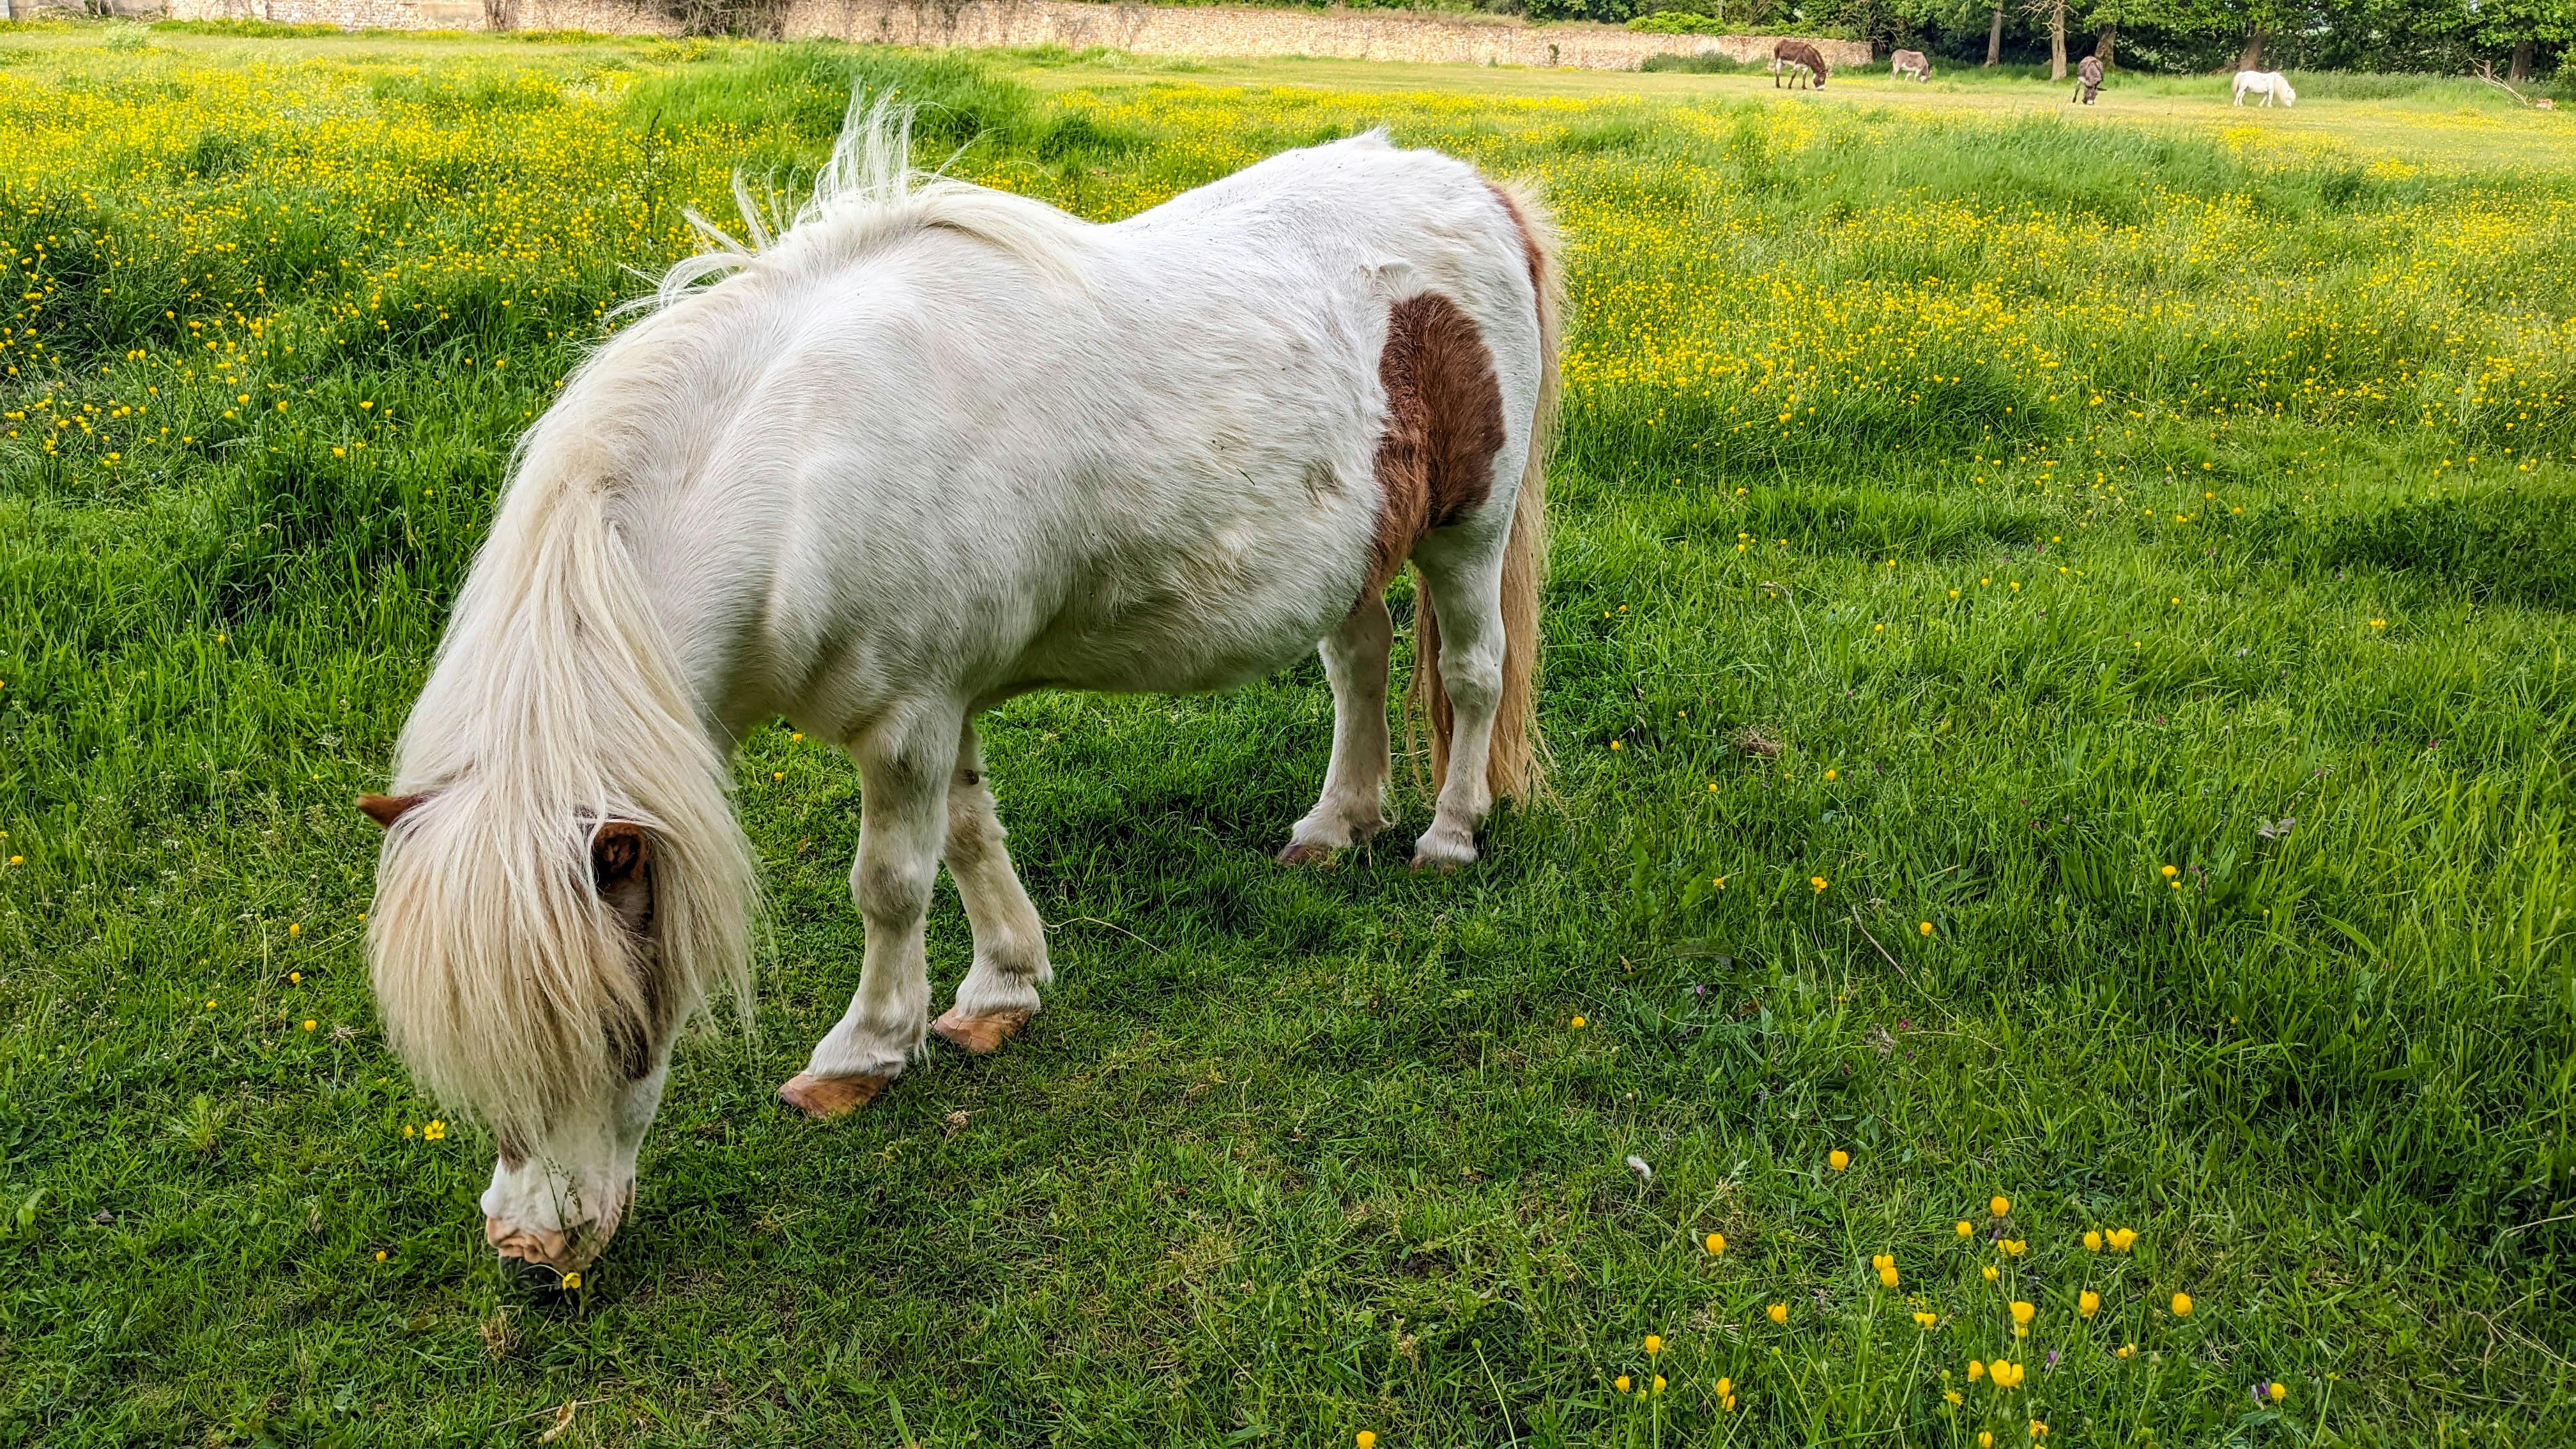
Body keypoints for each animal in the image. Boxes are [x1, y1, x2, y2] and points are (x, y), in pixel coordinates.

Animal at [353, 98, 1556, 1273]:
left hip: (1467, 528)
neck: (803, 475)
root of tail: (1478, 191)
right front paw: (1002, 991)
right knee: (1360, 663)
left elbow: (890, 883)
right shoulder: (942, 704)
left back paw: (1448, 835)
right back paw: (1336, 823)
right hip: (1354, 548)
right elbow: (971, 837)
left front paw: (864, 1052)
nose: (530, 1247)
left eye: (617, 1031)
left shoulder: (906, 721)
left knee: (1470, 672)